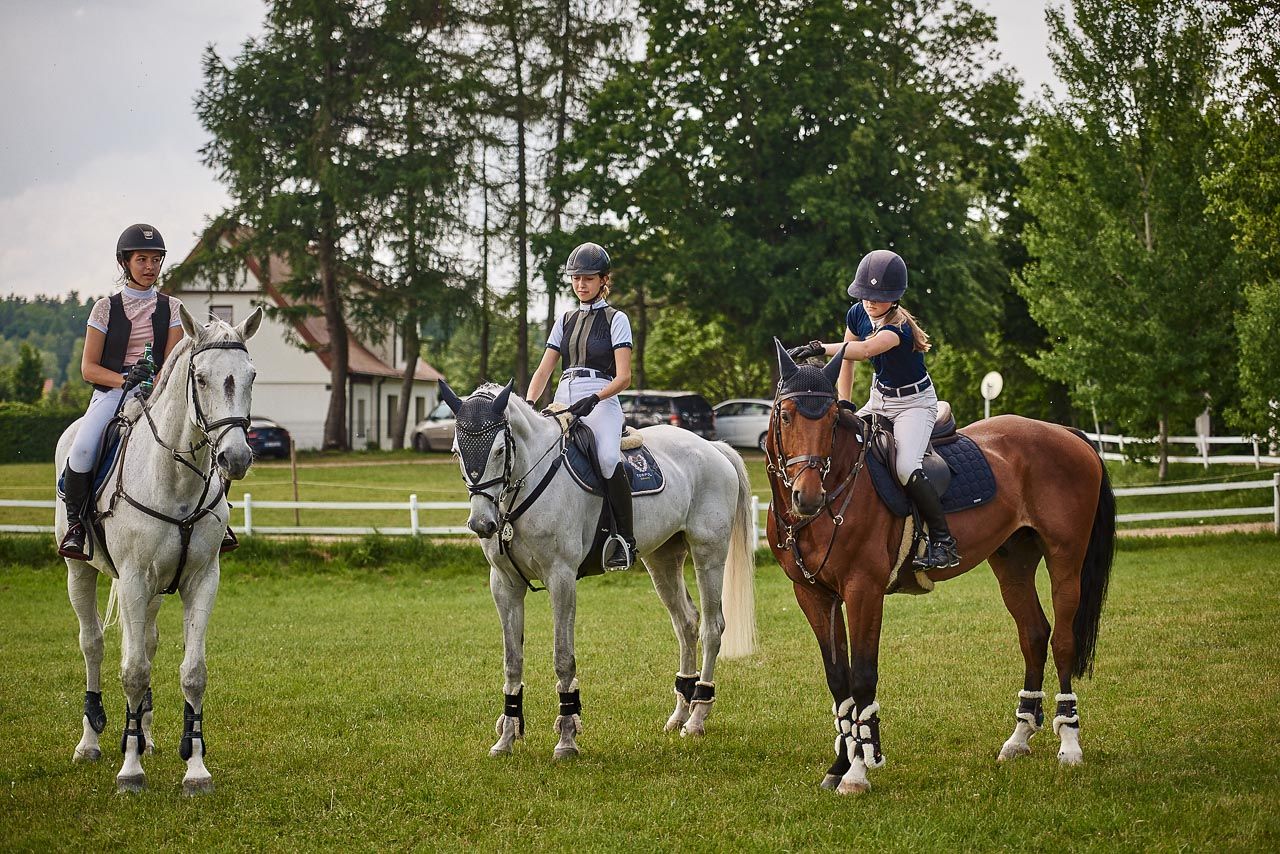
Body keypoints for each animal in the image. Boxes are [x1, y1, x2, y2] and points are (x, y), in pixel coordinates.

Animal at [55, 305, 262, 794]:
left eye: (251, 375)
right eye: (201, 378)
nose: (236, 459)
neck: (176, 481)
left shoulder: (202, 581)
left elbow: (192, 672)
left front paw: (196, 769)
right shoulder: (132, 579)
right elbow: (132, 671)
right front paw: (129, 772)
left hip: (152, 592)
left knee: (145, 644)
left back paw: (144, 736)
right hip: (83, 572)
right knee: (93, 645)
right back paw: (90, 741)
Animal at [437, 379, 756, 759]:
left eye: (500, 450)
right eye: (456, 451)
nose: (482, 524)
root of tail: (713, 448)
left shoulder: (561, 578)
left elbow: (563, 657)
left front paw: (566, 738)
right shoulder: (504, 585)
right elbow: (512, 660)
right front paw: (507, 738)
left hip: (709, 554)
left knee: (711, 627)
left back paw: (697, 718)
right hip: (662, 558)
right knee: (686, 623)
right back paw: (680, 713)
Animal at [765, 342, 1114, 794]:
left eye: (829, 421)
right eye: (786, 415)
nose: (806, 497)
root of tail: (1065, 433)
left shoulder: (863, 590)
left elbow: (862, 676)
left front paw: (858, 771)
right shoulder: (813, 595)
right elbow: (838, 679)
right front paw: (840, 764)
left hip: (1065, 559)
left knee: (1064, 642)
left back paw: (1069, 743)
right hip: (1013, 561)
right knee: (1034, 635)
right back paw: (1018, 738)